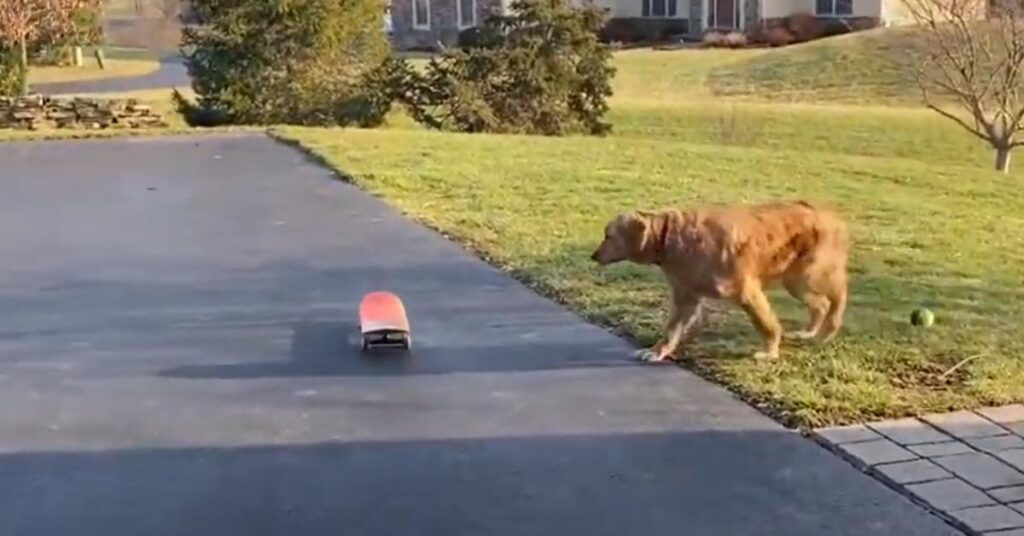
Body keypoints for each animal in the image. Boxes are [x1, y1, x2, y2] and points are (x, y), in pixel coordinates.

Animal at [593, 199, 847, 360]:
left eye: (608, 235)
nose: (593, 255)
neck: (668, 238)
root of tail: (830, 215)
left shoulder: (745, 290)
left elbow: (765, 323)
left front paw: (769, 352)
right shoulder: (686, 294)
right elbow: (672, 327)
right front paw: (658, 351)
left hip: (809, 273)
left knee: (838, 294)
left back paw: (830, 330)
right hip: (795, 280)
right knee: (820, 304)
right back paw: (811, 332)